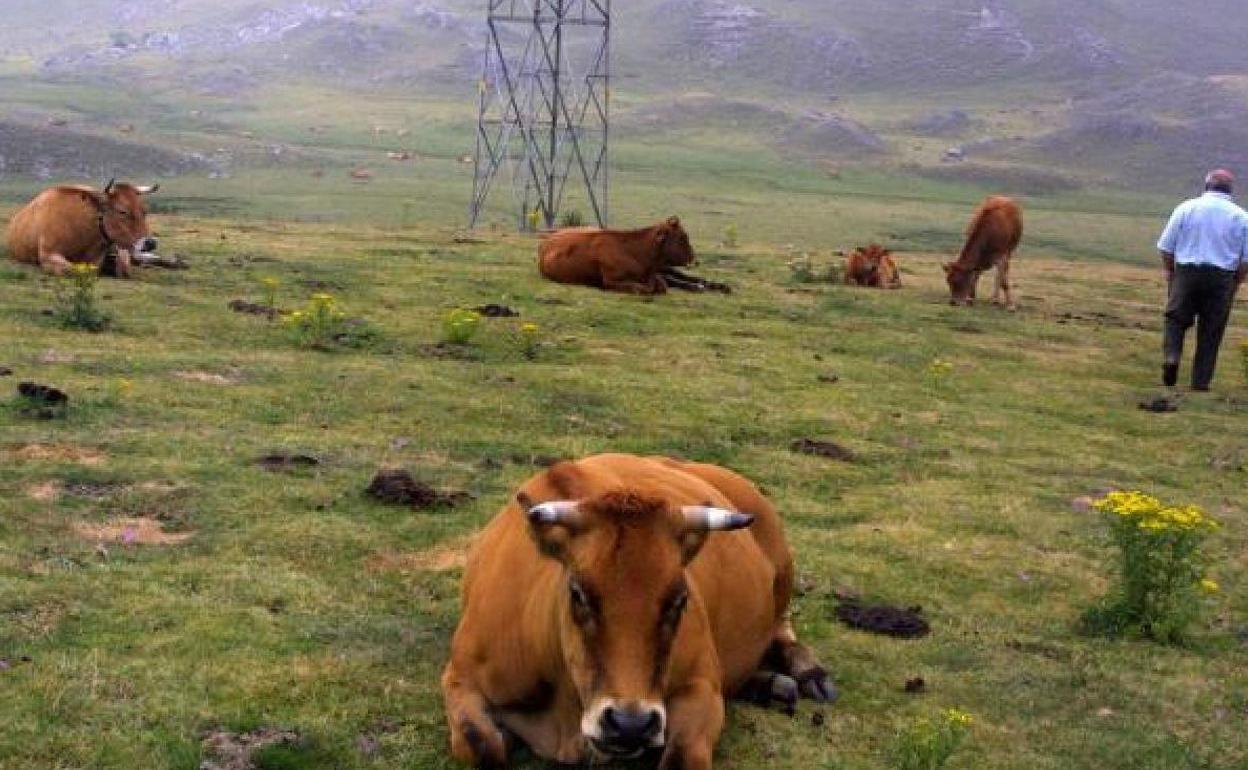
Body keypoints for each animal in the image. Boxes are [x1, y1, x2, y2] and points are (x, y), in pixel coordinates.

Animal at [5, 178, 160, 278]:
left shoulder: (97, 259)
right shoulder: (48, 255)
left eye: (145, 211)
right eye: (122, 211)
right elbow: (71, 269)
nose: (150, 243)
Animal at [444, 454, 833, 763]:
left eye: (680, 599)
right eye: (577, 593)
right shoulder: (460, 677)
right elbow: (481, 742)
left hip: (783, 566)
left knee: (781, 626)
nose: (629, 724)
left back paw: (809, 674)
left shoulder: (701, 687)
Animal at [534, 215, 723, 294]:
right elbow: (643, 288)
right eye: (683, 237)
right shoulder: (612, 281)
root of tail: (547, 240)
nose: (695, 259)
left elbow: (662, 285)